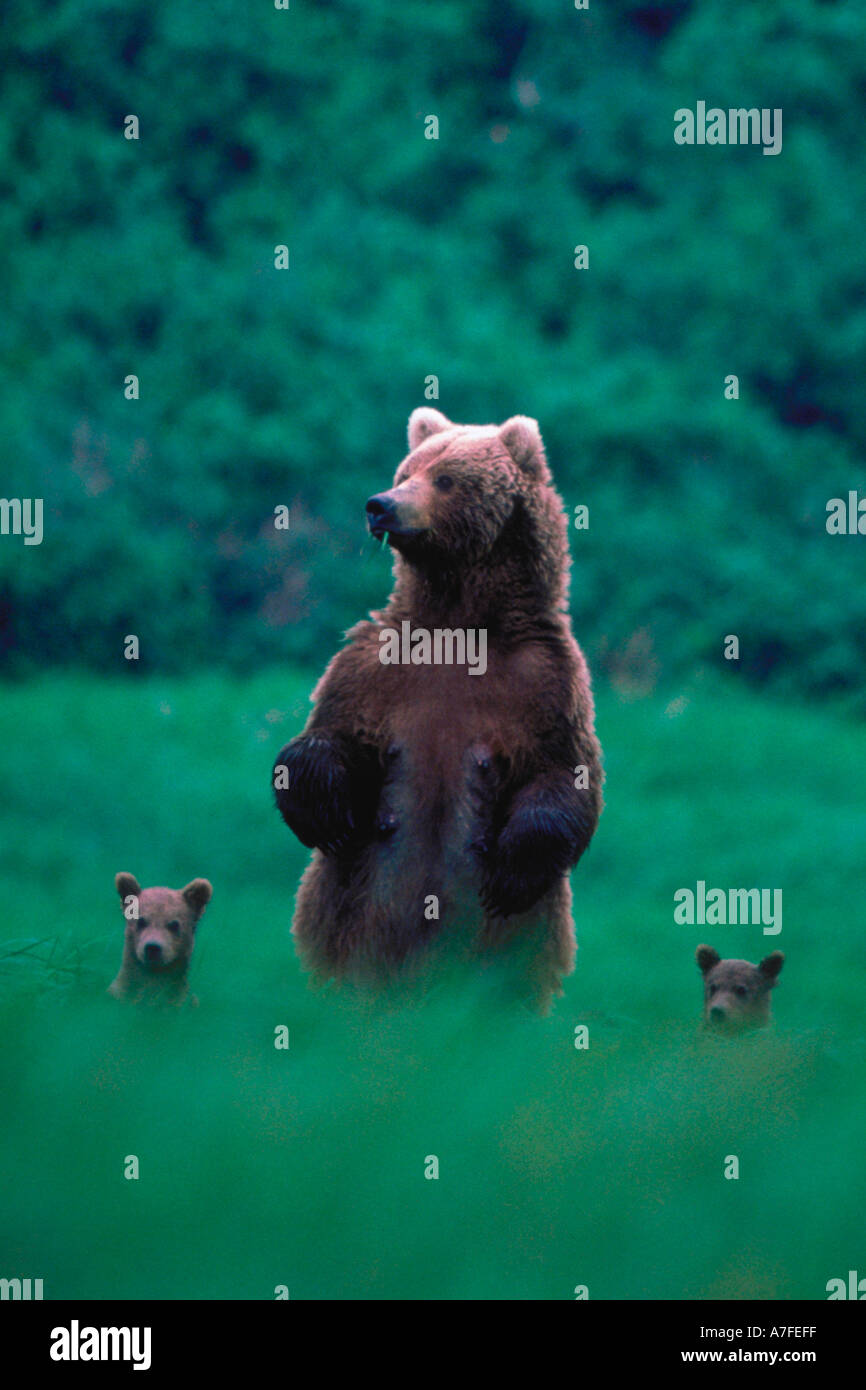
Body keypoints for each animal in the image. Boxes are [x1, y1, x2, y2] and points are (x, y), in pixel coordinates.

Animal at [273, 408, 603, 1008]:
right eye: (406, 470)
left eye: (446, 478)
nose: (380, 504)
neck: (460, 623)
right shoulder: (374, 667)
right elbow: (330, 734)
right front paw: (325, 812)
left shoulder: (547, 681)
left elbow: (563, 775)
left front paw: (512, 870)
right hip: (346, 923)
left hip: (515, 948)